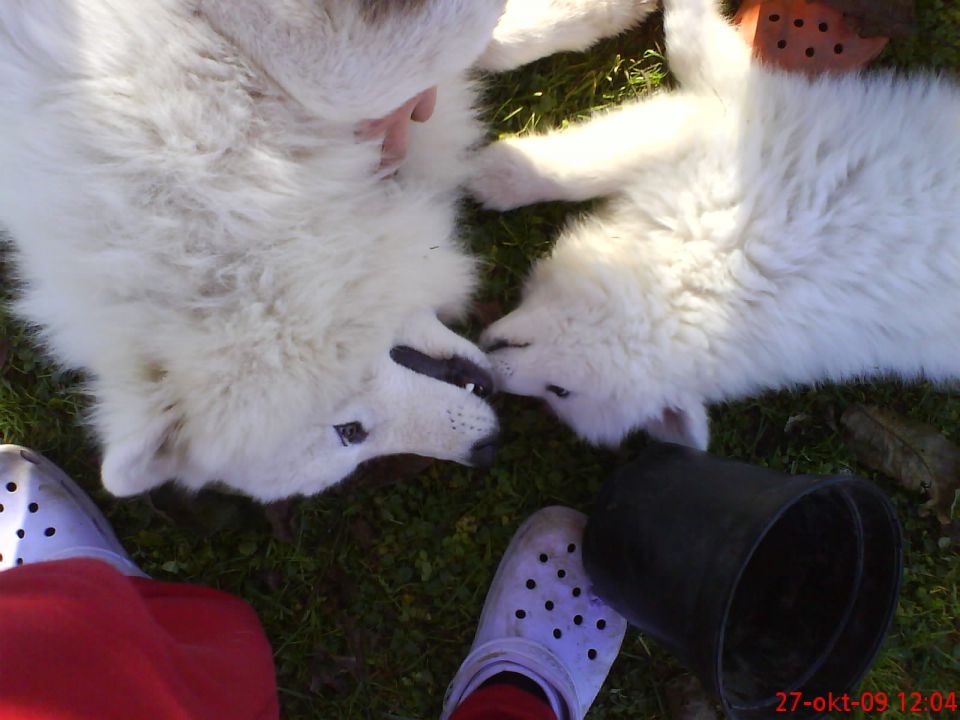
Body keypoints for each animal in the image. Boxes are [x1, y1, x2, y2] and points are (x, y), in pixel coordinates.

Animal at [472, 0, 960, 450]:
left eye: (558, 392)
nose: (487, 379)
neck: (721, 265)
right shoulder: (723, 130)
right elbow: (582, 168)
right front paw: (497, 174)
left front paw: (490, 174)